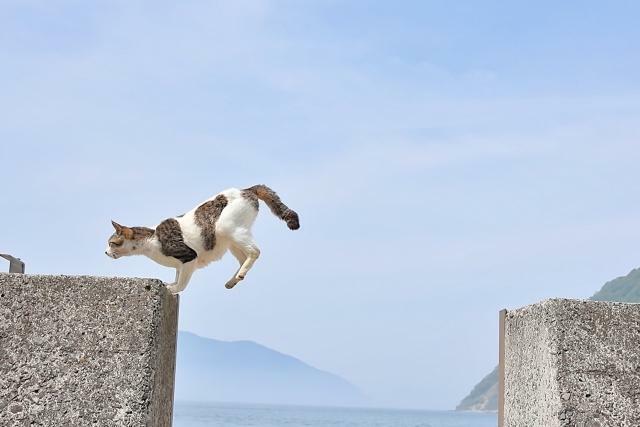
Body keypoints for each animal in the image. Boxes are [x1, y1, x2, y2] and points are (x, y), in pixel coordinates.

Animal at [105, 186, 300, 296]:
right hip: (231, 239)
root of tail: (248, 189)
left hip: (227, 227)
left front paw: (173, 289)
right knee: (243, 257)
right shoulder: (180, 264)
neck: (152, 238)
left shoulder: (189, 257)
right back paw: (233, 280)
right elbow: (177, 275)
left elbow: (182, 282)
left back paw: (240, 275)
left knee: (255, 251)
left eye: (112, 243)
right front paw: (172, 284)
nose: (105, 252)